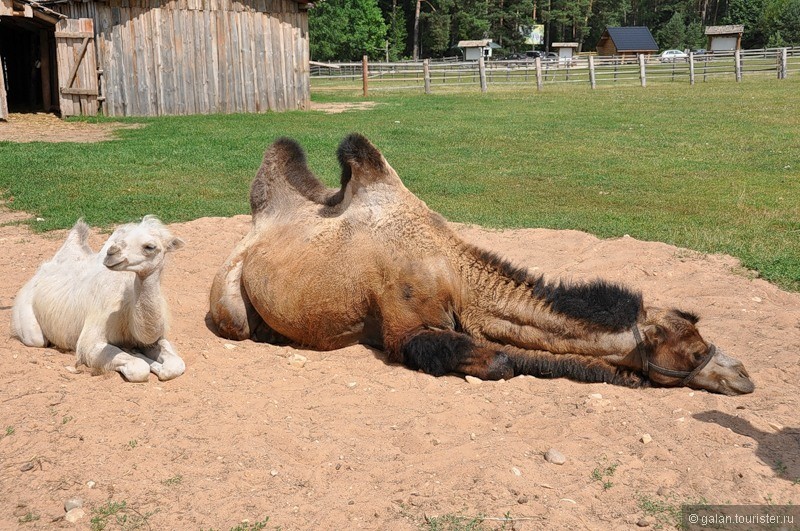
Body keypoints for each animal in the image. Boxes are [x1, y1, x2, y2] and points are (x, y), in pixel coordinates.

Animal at [11, 216, 187, 382]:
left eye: (150, 247)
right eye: (119, 241)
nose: (111, 253)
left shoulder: (153, 338)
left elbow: (175, 365)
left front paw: (147, 358)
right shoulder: (91, 342)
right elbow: (139, 367)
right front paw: (137, 355)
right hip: (28, 321)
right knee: (37, 339)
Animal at [208, 135, 756, 396]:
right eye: (693, 352)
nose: (745, 375)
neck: (457, 277)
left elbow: (511, 354)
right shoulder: (404, 327)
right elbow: (498, 362)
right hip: (227, 300)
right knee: (237, 323)